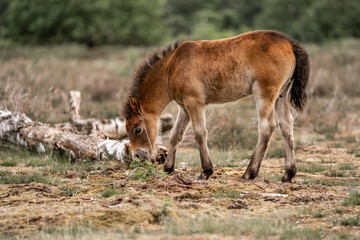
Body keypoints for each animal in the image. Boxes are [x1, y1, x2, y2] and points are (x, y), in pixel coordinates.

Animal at [124, 31, 310, 183]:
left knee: (267, 126)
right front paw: (168, 168)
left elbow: (200, 134)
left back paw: (249, 173)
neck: (172, 67)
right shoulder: (184, 107)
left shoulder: (194, 102)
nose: (138, 156)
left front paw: (205, 172)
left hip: (264, 93)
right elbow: (176, 134)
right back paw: (288, 174)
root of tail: (289, 43)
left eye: (138, 129)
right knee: (286, 125)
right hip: (280, 95)